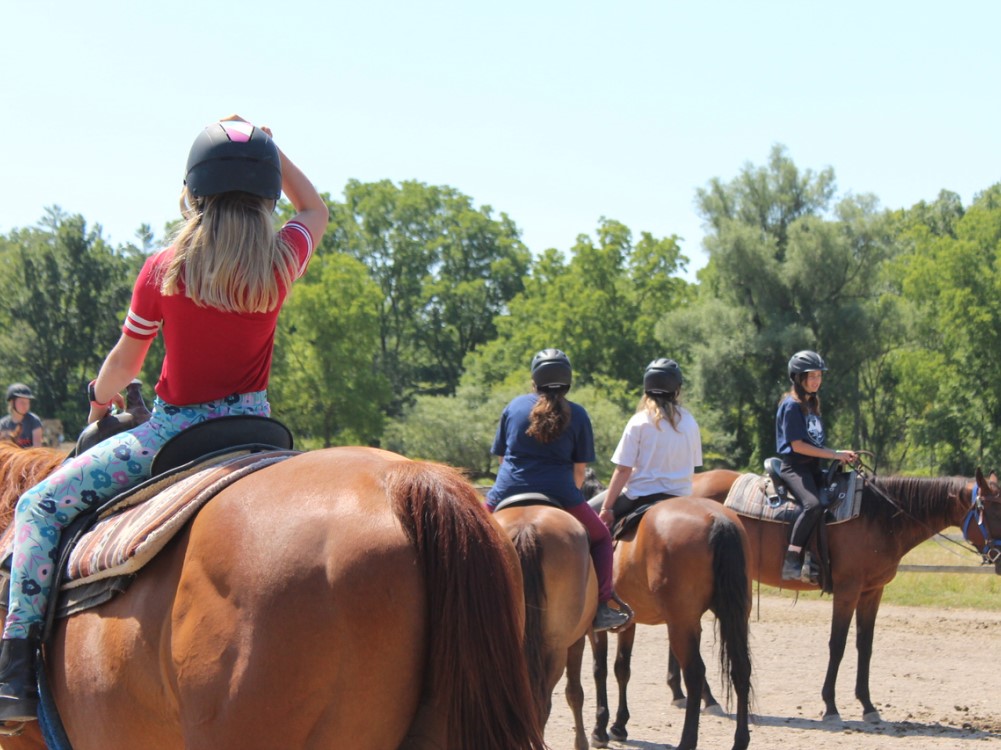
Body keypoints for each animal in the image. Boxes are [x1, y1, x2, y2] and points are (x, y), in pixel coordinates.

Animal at [584, 494, 752, 748]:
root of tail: (717, 518)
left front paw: (599, 730)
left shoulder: (597, 627)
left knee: (694, 674)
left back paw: (687, 741)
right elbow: (622, 668)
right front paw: (619, 725)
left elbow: (599, 669)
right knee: (741, 669)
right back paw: (740, 741)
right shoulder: (628, 623)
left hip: (681, 624)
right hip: (732, 617)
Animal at [692, 464, 1001, 720]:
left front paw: (868, 705)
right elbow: (837, 645)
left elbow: (865, 645)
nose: (999, 557)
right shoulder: (847, 590)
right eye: (990, 511)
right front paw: (830, 706)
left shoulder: (872, 591)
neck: (880, 515)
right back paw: (707, 699)